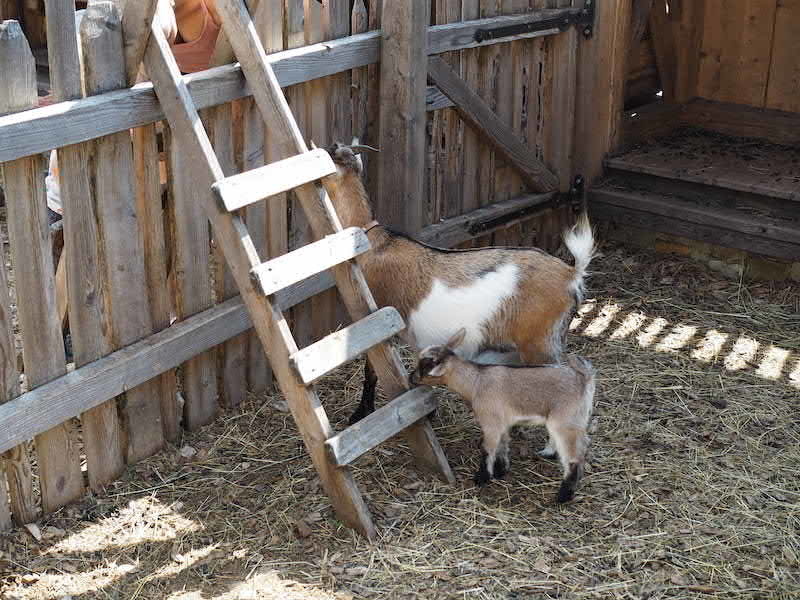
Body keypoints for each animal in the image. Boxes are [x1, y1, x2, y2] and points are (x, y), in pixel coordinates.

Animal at [322, 141, 596, 424]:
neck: (372, 242)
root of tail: (572, 274)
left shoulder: (377, 323)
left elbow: (371, 371)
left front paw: (360, 413)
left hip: (540, 343)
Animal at [412, 328, 592, 502]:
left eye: (425, 367)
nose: (412, 377)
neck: (475, 382)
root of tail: (584, 378)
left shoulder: (491, 422)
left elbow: (488, 449)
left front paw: (482, 478)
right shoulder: (501, 422)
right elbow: (502, 446)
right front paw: (501, 470)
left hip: (566, 421)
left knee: (575, 457)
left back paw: (563, 495)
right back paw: (548, 454)